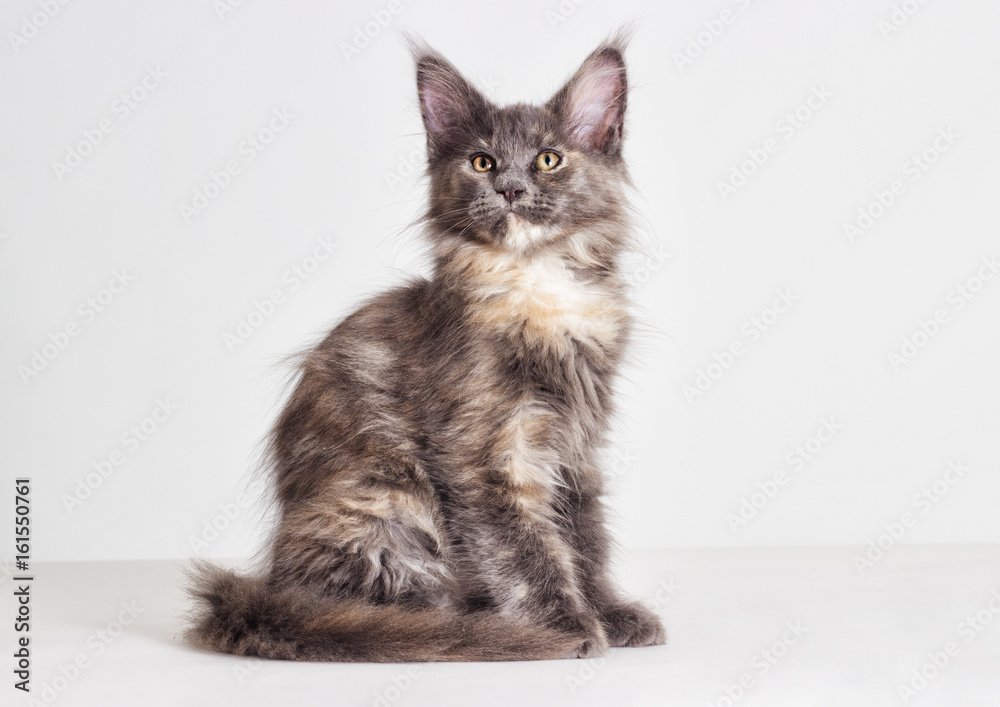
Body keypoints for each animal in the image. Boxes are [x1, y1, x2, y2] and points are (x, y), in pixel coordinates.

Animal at [190, 33, 668, 664]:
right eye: (482, 162)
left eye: (549, 159)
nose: (510, 189)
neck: (536, 285)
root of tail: (275, 589)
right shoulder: (484, 455)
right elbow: (525, 550)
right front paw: (567, 625)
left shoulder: (576, 447)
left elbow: (584, 540)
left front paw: (610, 613)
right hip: (385, 498)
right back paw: (461, 627)